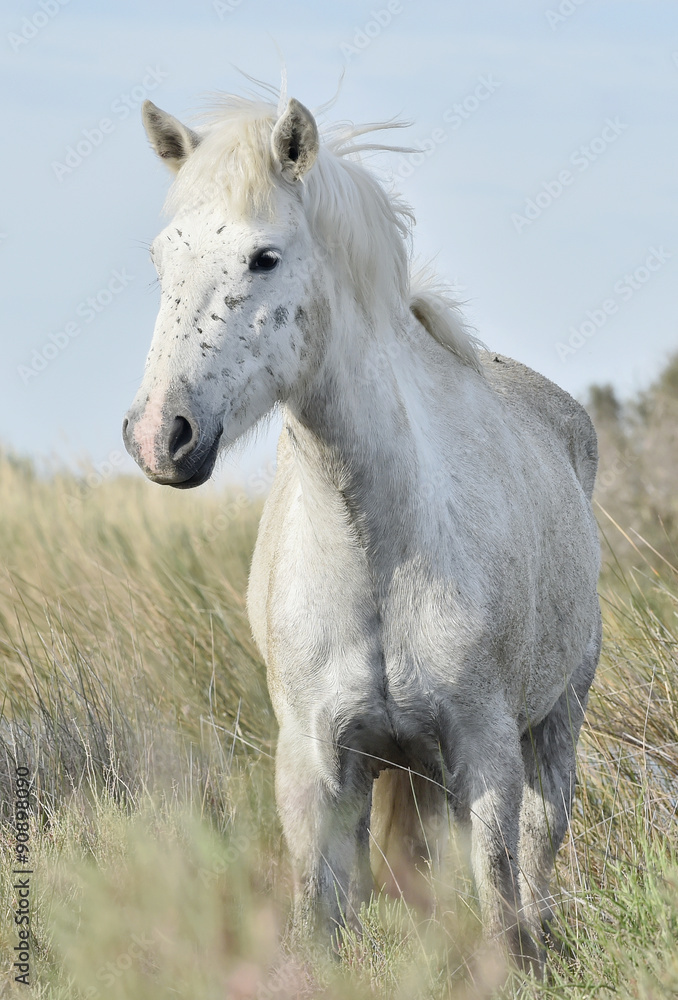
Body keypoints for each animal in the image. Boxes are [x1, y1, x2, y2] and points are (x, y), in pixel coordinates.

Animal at [123, 89, 601, 969]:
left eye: (265, 257)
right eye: (162, 257)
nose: (158, 436)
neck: (378, 546)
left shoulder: (485, 753)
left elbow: (498, 898)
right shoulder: (316, 768)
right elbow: (323, 918)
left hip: (555, 721)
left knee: (540, 846)